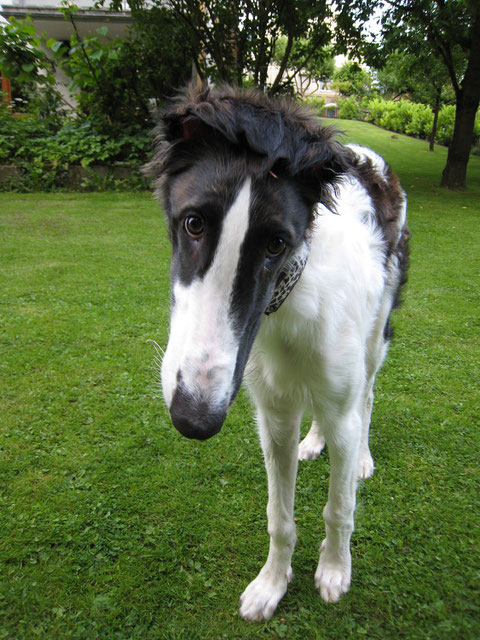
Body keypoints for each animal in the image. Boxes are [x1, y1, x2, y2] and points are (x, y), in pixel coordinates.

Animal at [146, 85, 408, 620]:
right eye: (193, 223)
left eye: (276, 245)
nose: (194, 420)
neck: (290, 299)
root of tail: (368, 157)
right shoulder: (274, 416)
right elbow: (279, 517)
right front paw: (272, 584)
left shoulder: (342, 407)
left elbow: (339, 507)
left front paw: (334, 570)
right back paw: (315, 441)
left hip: (375, 341)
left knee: (367, 398)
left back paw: (363, 457)